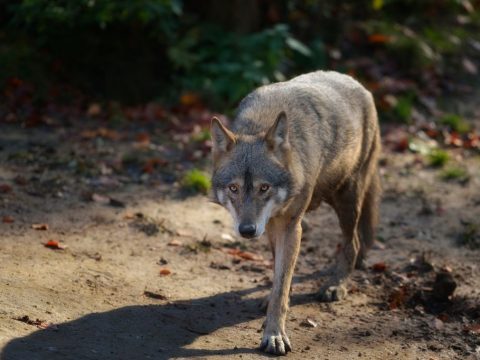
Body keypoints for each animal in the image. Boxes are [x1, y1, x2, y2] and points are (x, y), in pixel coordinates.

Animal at [209, 69, 378, 354]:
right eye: (233, 188)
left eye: (264, 187)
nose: (247, 230)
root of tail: (356, 83)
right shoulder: (271, 224)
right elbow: (280, 275)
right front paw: (273, 302)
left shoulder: (290, 225)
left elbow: (282, 284)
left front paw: (274, 334)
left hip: (346, 199)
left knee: (352, 242)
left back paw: (336, 285)